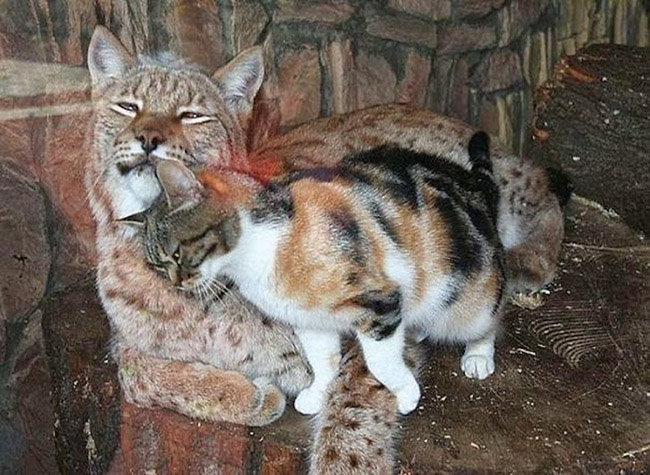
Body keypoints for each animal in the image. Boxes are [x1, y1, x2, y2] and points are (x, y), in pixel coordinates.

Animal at [132, 131, 504, 416]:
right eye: (158, 265)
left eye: (177, 254)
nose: (177, 284)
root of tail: (474, 183)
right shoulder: (309, 317)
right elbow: (323, 359)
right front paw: (318, 393)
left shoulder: (379, 302)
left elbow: (380, 362)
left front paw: (406, 395)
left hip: (468, 302)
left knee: (491, 317)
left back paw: (477, 356)